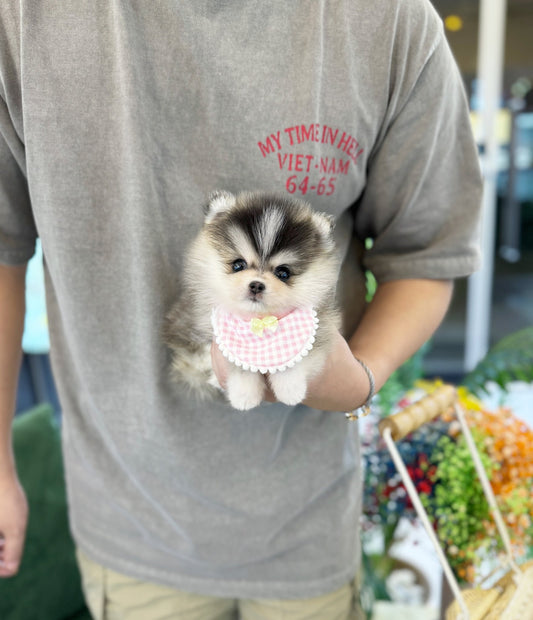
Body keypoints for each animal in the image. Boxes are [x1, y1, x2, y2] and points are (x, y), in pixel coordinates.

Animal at [164, 189, 340, 412]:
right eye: (238, 264)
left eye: (283, 273)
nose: (256, 285)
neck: (258, 320)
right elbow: (237, 362)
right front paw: (244, 394)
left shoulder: (321, 324)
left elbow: (296, 357)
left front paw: (291, 389)